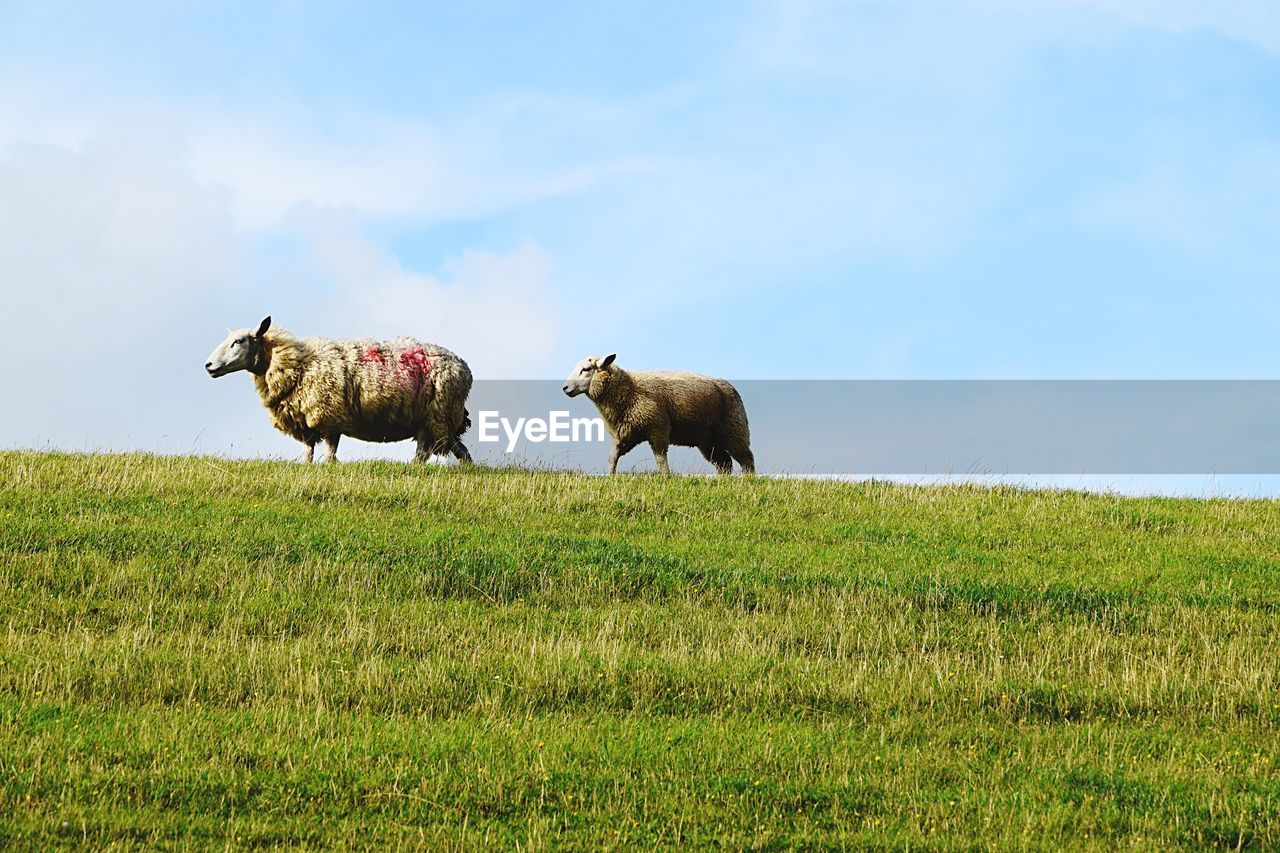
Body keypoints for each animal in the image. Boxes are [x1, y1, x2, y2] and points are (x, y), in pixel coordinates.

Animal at [202, 315, 473, 461]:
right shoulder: (305, 422)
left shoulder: (329, 415)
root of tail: (463, 366)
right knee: (456, 451)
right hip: (432, 420)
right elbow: (308, 453)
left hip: (438, 414)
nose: (208, 366)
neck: (298, 363)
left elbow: (330, 455)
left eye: (239, 341)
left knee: (427, 454)